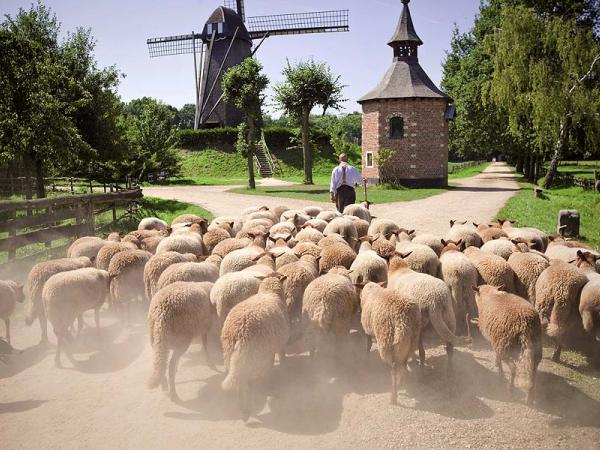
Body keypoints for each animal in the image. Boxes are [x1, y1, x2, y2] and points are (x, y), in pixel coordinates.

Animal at [220, 272, 290, 420]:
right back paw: (247, 408)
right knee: (248, 382)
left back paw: (241, 408)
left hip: (229, 353)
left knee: (238, 380)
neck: (269, 292)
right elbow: (280, 360)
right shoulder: (279, 345)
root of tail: (240, 332)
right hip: (256, 355)